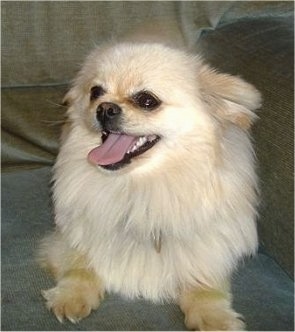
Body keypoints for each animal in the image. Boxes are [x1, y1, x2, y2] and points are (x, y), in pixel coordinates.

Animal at [38, 38, 262, 330]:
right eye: (95, 92)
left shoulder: (210, 252)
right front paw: (71, 297)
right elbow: (80, 265)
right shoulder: (69, 238)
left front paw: (215, 318)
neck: (140, 187)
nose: (104, 107)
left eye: (147, 101)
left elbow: (206, 285)